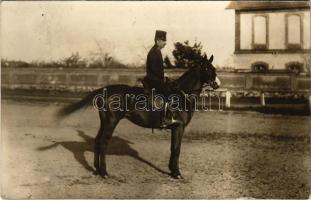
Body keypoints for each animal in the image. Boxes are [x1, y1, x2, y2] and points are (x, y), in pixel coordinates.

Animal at [58, 54, 219, 178]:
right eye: (207, 68)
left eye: (214, 68)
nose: (217, 84)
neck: (181, 94)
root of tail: (105, 89)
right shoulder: (179, 127)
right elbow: (176, 150)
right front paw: (177, 173)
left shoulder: (175, 128)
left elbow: (173, 149)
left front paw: (172, 170)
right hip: (111, 122)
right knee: (103, 143)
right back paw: (104, 172)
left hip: (104, 122)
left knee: (97, 141)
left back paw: (97, 170)